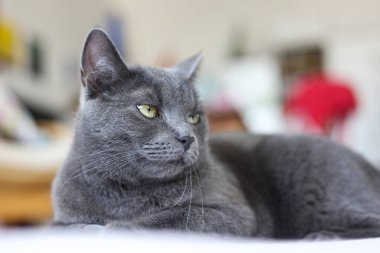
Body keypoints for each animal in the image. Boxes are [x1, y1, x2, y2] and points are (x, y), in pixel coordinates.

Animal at [51, 28, 380, 238]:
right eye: (148, 109)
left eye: (193, 116)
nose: (187, 137)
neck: (124, 192)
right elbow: (55, 227)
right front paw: (80, 227)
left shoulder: (231, 213)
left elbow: (158, 222)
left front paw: (103, 228)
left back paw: (320, 236)